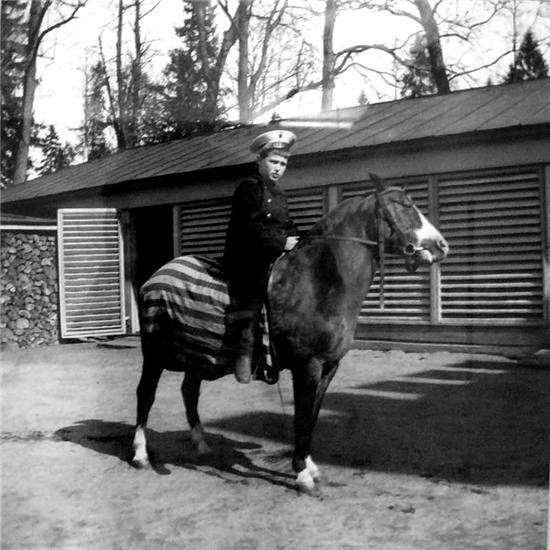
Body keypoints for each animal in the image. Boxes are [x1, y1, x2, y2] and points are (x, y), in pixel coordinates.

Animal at [132, 175, 450, 494]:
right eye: (405, 205)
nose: (442, 246)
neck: (319, 281)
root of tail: (157, 276)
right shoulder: (307, 365)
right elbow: (302, 415)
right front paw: (301, 473)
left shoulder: (328, 367)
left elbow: (312, 416)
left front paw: (309, 465)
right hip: (154, 353)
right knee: (145, 394)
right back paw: (140, 454)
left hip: (197, 355)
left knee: (189, 391)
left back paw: (200, 444)